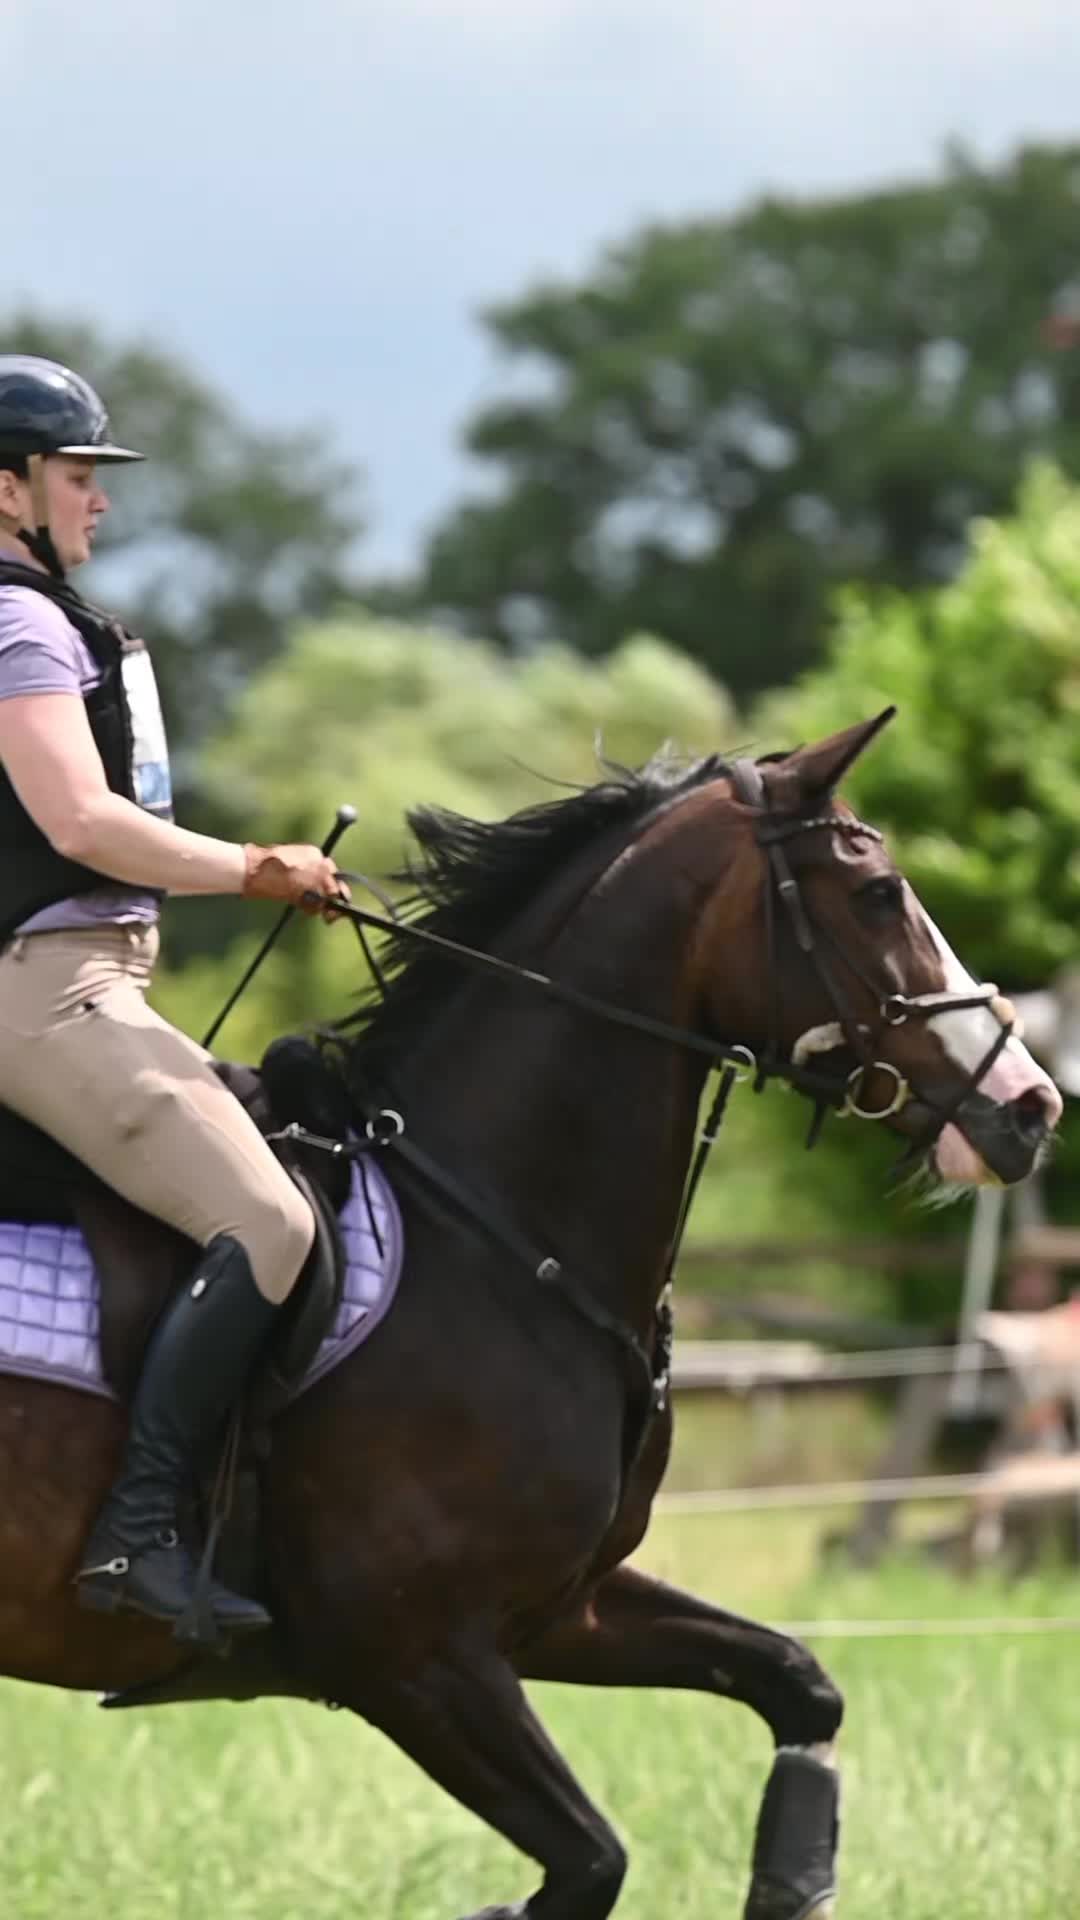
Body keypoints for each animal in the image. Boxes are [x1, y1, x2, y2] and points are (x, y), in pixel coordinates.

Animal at [0, 712, 1061, 1920]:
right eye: (879, 893)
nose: (1029, 1107)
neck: (496, 1230)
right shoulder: (414, 1659)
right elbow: (592, 1860)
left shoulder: (562, 1612)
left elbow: (801, 1685)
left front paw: (792, 1886)